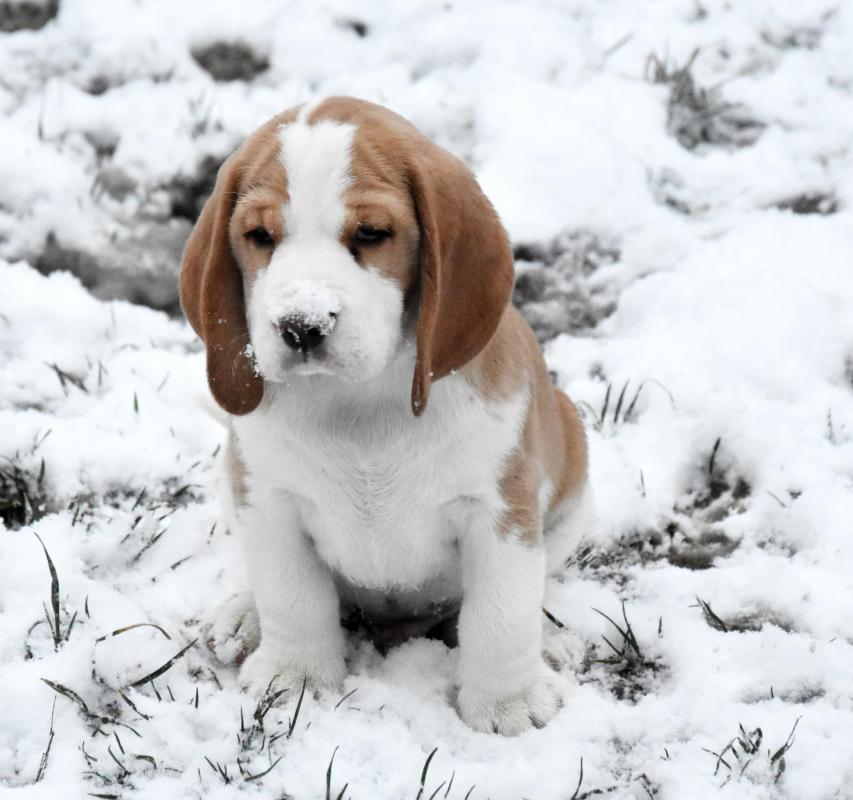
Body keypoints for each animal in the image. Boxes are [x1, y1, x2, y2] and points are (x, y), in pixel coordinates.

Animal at [181, 97, 591, 735]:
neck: (360, 405)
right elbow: (291, 592)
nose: (301, 326)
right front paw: (295, 675)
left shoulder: (500, 513)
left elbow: (501, 612)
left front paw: (508, 702)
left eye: (371, 233)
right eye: (259, 236)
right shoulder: (269, 502)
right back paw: (243, 616)